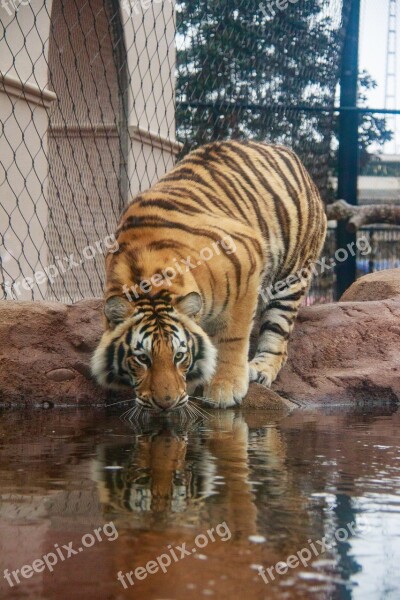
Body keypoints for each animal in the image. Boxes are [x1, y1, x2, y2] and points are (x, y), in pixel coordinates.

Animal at [92, 141, 326, 412]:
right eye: (142, 358)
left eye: (178, 355)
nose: (165, 403)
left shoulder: (246, 265)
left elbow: (232, 338)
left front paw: (224, 388)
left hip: (293, 274)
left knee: (278, 331)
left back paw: (260, 370)